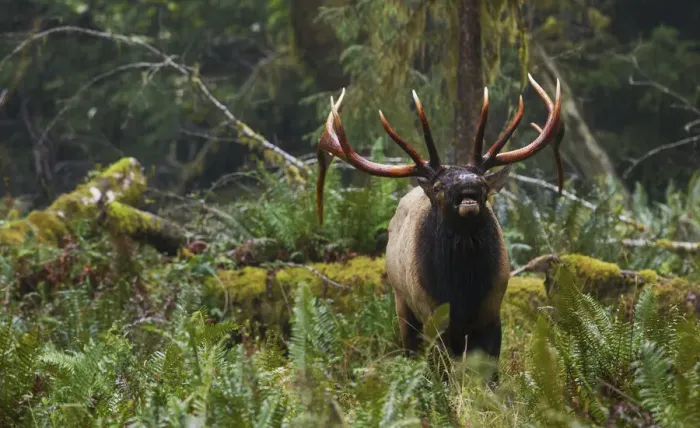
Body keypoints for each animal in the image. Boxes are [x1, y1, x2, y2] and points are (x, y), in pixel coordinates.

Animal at [314, 74, 563, 379]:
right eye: (438, 186)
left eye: (483, 183)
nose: (468, 186)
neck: (463, 289)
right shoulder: (431, 313)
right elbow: (442, 373)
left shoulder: (492, 311)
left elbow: (490, 375)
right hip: (402, 303)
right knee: (411, 349)